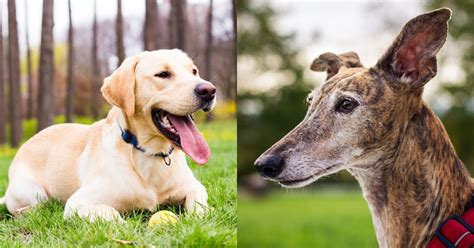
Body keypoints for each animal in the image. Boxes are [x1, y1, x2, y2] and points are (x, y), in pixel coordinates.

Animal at [0, 49, 216, 222]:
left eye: (194, 71)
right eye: (163, 74)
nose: (209, 90)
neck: (149, 153)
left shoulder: (194, 187)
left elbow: (199, 204)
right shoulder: (78, 203)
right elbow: (112, 214)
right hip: (33, 192)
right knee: (31, 207)